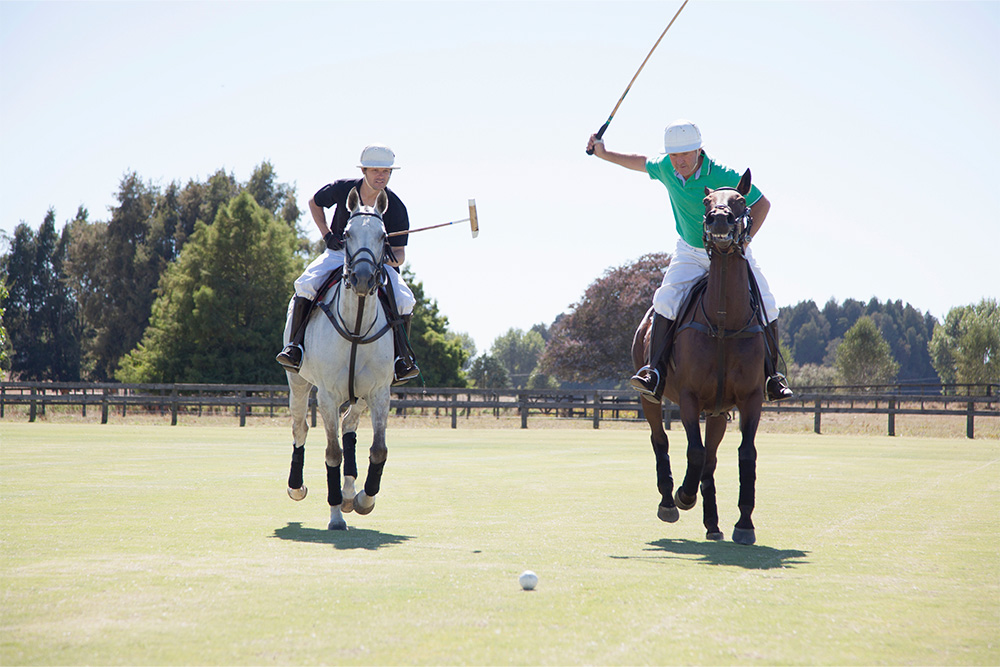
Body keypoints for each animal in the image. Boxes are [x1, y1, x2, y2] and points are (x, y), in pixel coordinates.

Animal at [286, 188, 394, 532]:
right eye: (346, 234)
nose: (362, 278)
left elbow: (378, 450)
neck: (356, 325)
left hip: (359, 395)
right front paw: (335, 516)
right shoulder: (328, 395)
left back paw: (349, 493)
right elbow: (332, 453)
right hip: (298, 381)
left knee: (350, 425)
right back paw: (297, 487)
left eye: (384, 236)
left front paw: (363, 500)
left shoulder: (379, 392)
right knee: (300, 428)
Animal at [632, 170, 764, 544]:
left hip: (718, 411)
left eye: (741, 201)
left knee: (712, 458)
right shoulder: (689, 397)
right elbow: (694, 450)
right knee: (659, 439)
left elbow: (744, 454)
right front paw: (683, 496)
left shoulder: (751, 398)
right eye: (706, 201)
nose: (719, 219)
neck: (724, 322)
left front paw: (743, 523)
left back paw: (713, 523)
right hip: (650, 396)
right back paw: (669, 500)